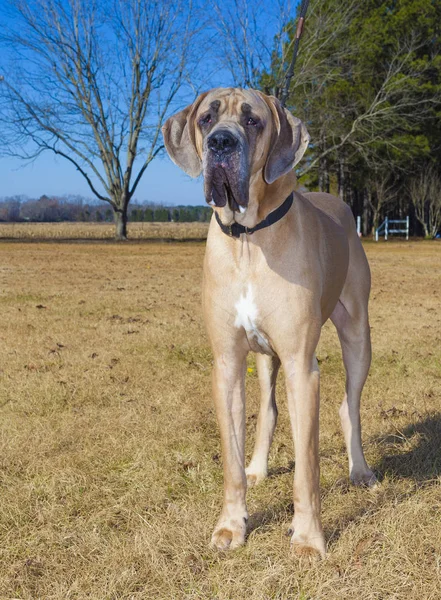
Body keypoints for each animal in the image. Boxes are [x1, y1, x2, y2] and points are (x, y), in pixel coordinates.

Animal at [162, 88, 374, 556]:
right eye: (206, 119)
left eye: (252, 120)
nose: (221, 143)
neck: (248, 237)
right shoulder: (227, 364)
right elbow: (231, 459)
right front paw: (231, 525)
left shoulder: (300, 365)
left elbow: (307, 469)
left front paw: (309, 538)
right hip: (263, 358)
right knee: (270, 409)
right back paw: (258, 466)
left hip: (357, 335)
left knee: (349, 405)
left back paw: (360, 469)